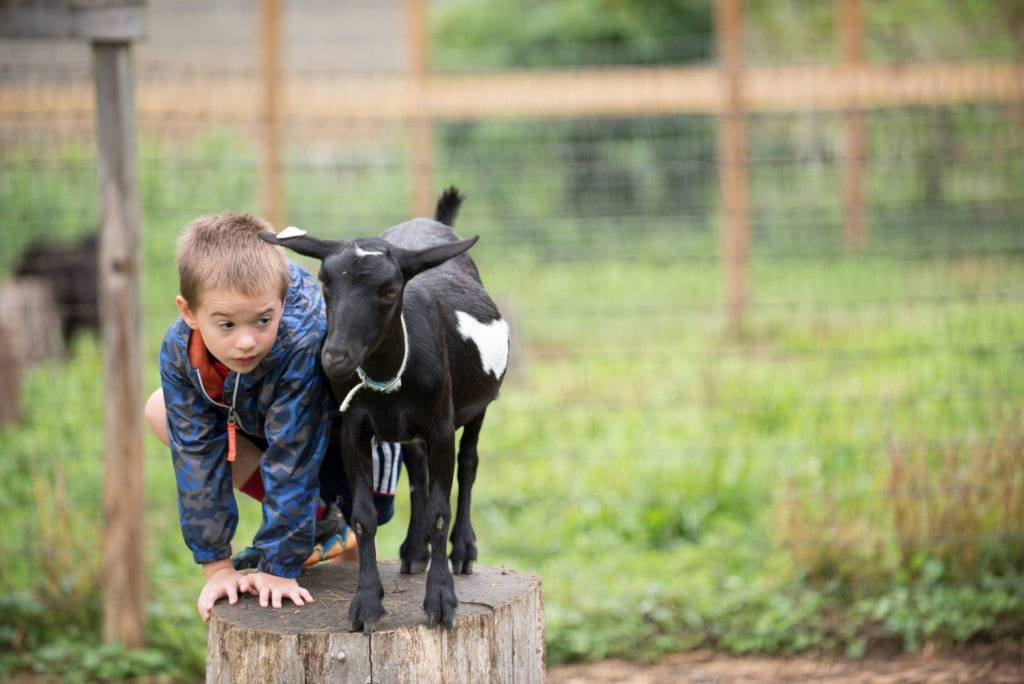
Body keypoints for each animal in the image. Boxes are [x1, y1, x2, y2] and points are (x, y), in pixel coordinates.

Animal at [260, 187, 507, 630]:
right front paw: (366, 603)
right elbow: (363, 515)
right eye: (324, 282)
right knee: (417, 473)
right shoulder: (353, 431)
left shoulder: (441, 426)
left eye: (390, 290)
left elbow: (441, 510)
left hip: (475, 407)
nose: (335, 357)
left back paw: (463, 551)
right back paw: (413, 551)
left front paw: (441, 599)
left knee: (469, 464)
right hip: (408, 432)